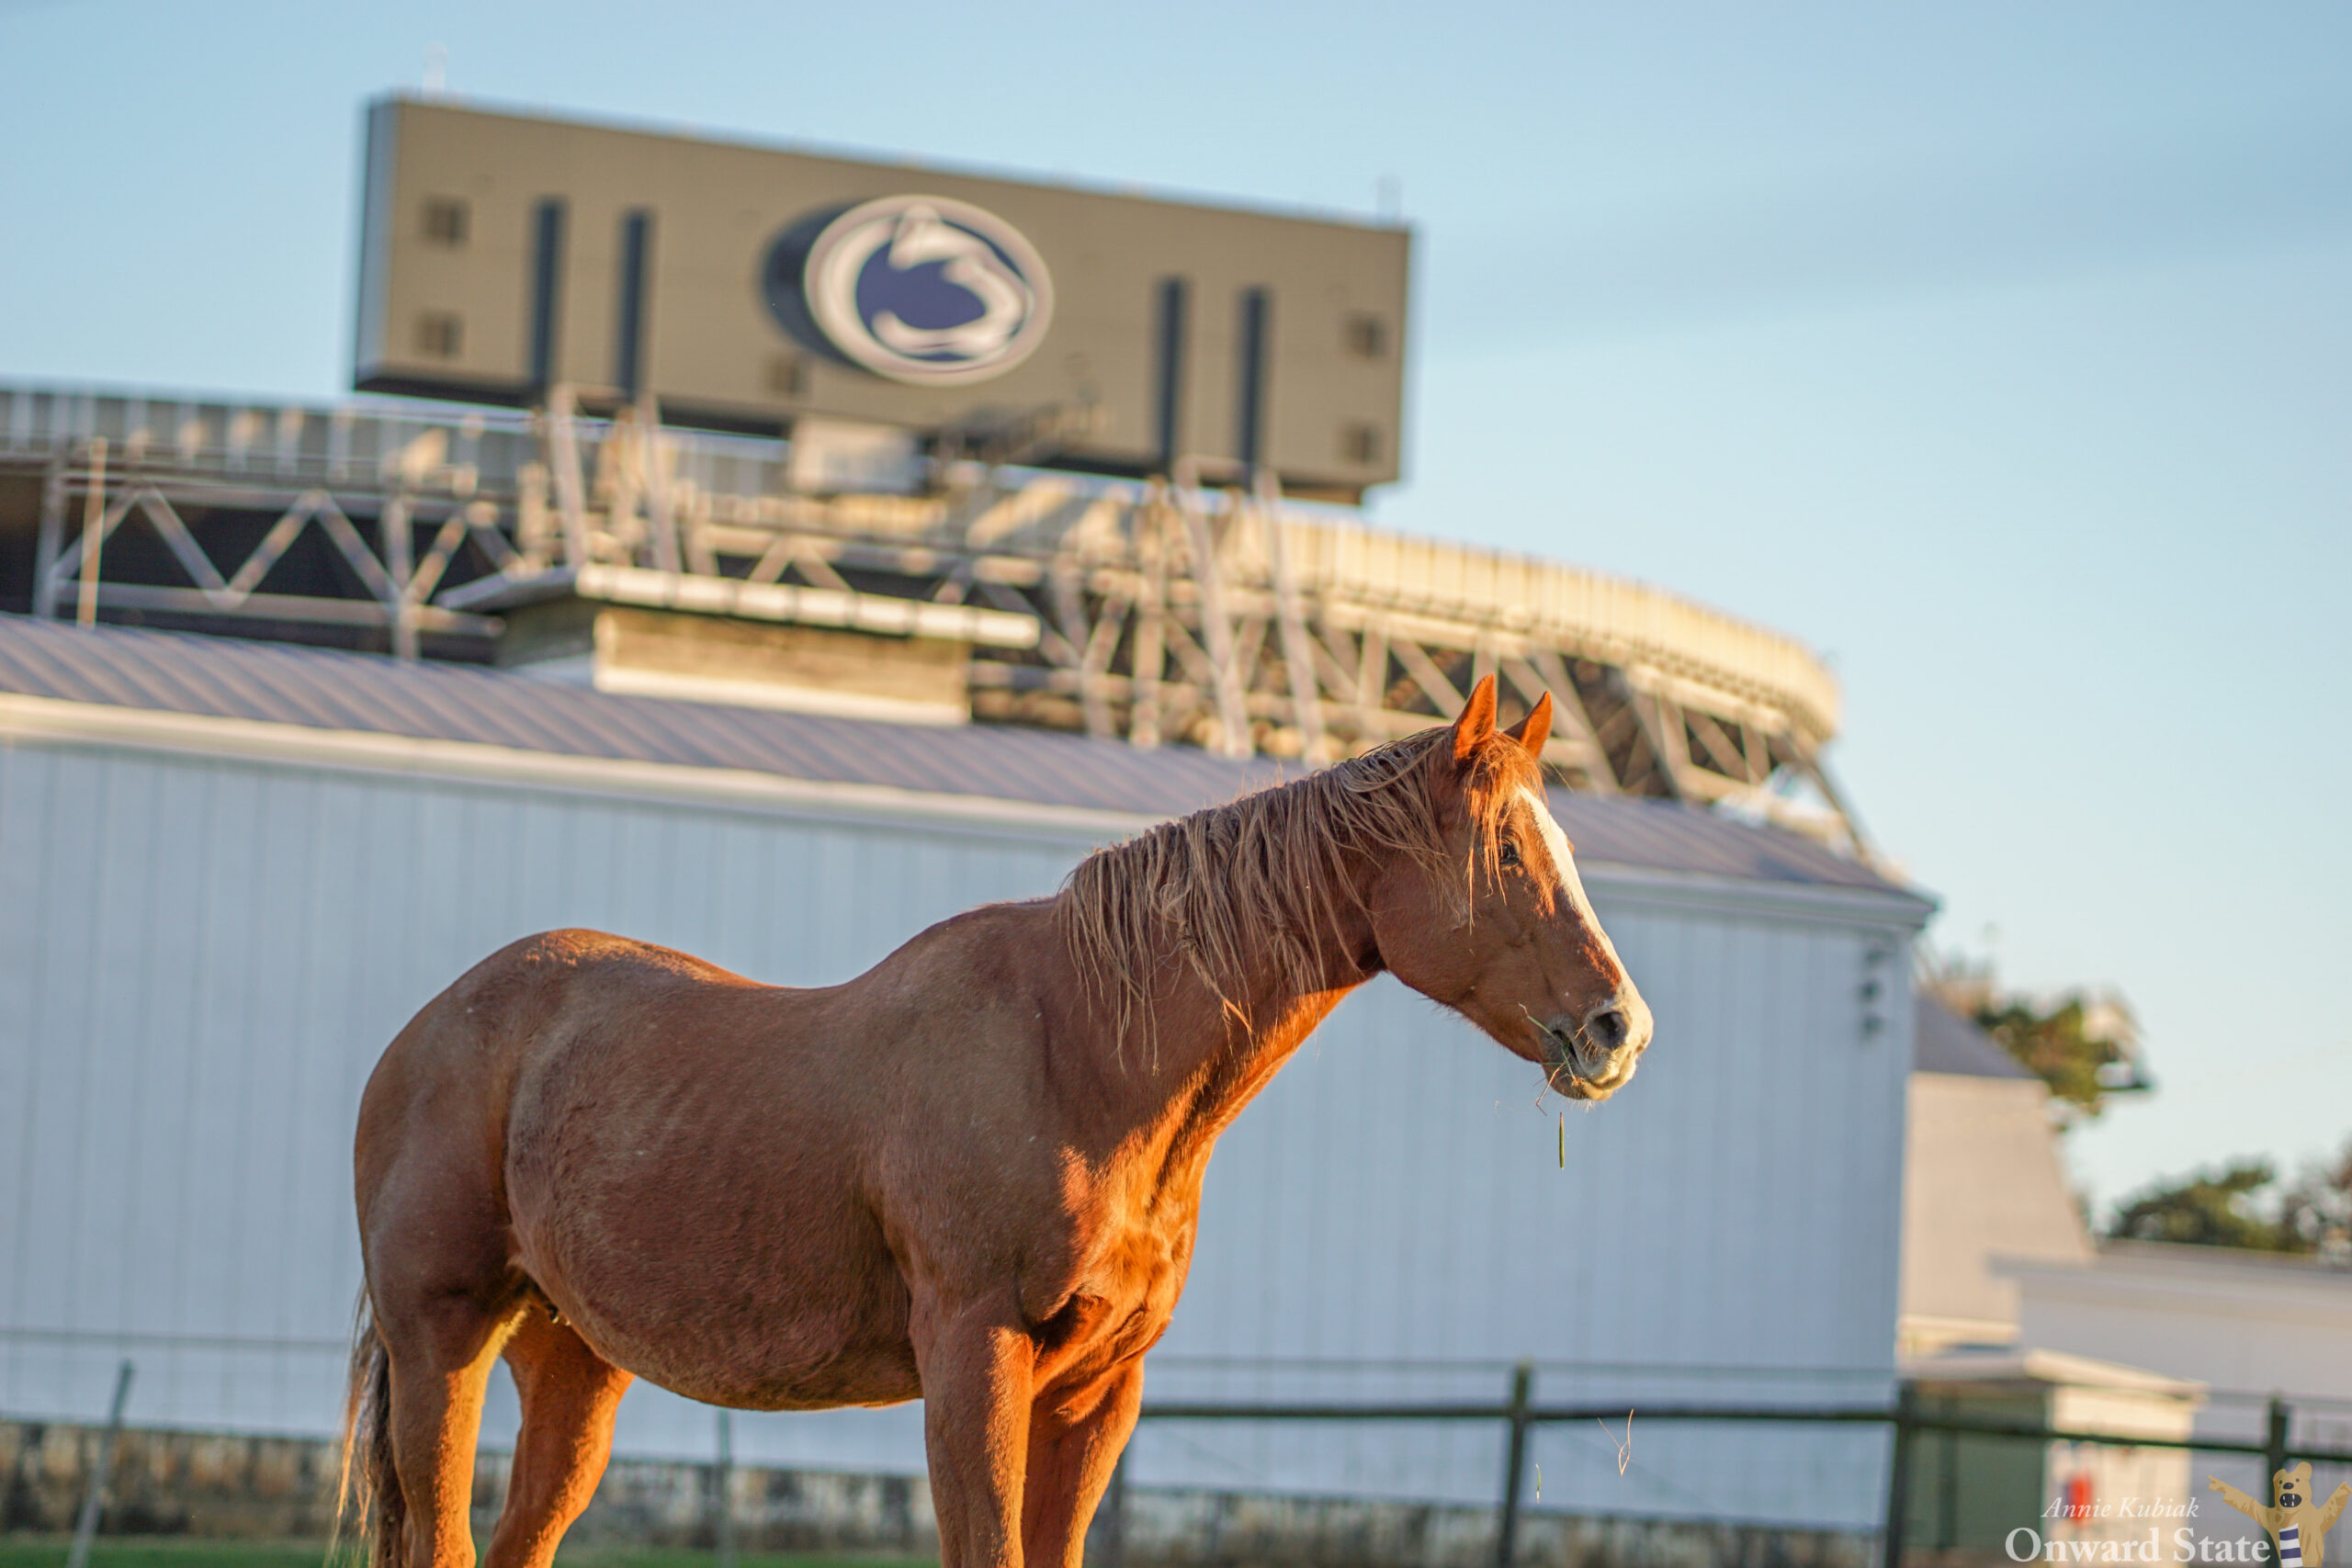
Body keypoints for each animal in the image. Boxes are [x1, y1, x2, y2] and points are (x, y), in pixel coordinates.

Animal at [339, 674, 1653, 1568]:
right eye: (1502, 850)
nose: (1617, 1030)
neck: (1081, 1058)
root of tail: (427, 1031)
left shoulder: (1093, 1393)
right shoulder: (976, 1364)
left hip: (573, 1365)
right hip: (444, 1341)